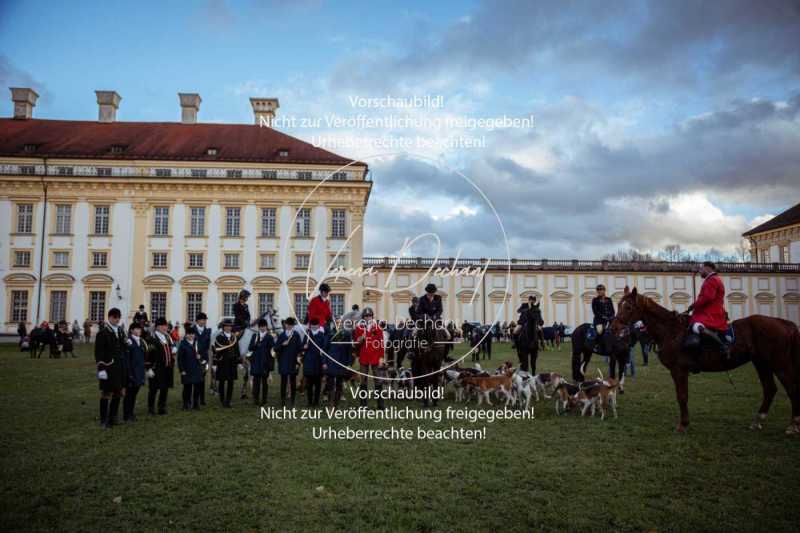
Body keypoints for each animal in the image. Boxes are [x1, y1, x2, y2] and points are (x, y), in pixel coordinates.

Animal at [612, 286, 800, 432]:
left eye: (628, 307)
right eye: (619, 304)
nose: (614, 327)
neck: (671, 331)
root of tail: (784, 323)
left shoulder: (679, 370)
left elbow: (682, 396)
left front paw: (683, 424)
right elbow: (682, 396)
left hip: (779, 364)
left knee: (791, 388)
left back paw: (793, 424)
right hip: (761, 363)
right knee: (770, 389)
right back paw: (758, 420)